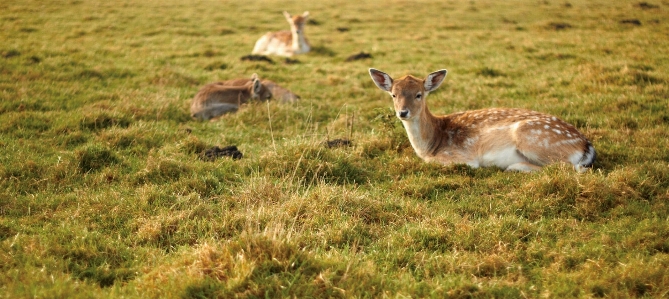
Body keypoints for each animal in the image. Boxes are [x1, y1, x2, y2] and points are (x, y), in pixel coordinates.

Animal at [368, 68, 596, 172]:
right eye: (393, 95)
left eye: (419, 94)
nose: (403, 112)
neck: (431, 144)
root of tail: (586, 146)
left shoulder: (462, 156)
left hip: (534, 138)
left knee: (571, 168)